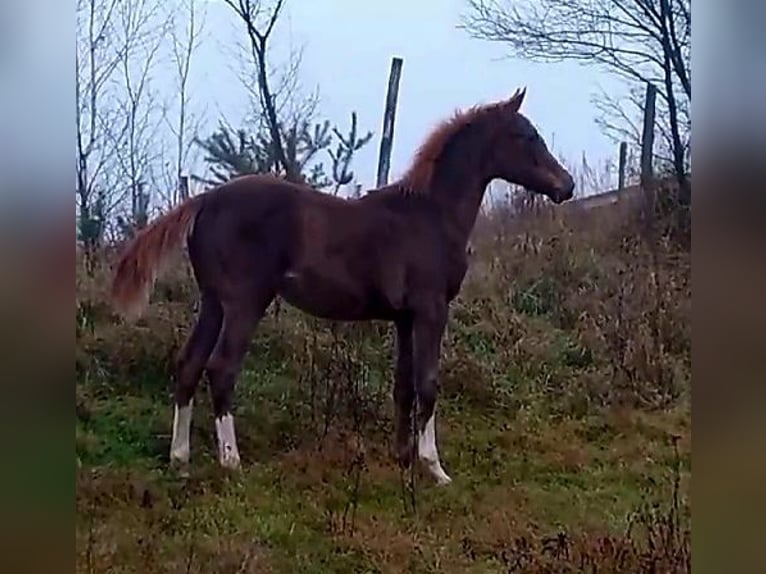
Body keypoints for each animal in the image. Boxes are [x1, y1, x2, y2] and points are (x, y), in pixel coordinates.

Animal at [110, 88, 574, 485]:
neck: (432, 216)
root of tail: (205, 200)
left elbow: (403, 385)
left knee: (188, 366)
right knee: (221, 368)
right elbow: (428, 383)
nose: (565, 186)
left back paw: (180, 460)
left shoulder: (404, 318)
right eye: (526, 135)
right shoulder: (431, 310)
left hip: (212, 302)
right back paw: (231, 463)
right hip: (245, 302)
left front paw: (402, 459)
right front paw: (434, 468)